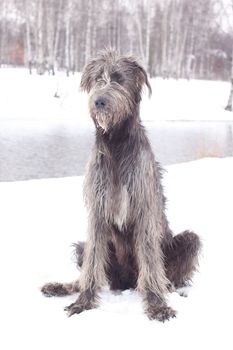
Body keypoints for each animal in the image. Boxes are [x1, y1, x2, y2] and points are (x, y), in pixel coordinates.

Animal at [41, 50, 201, 322]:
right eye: (98, 79)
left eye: (118, 79)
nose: (99, 102)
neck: (115, 142)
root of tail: (124, 283)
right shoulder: (97, 208)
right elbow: (92, 262)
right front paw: (83, 301)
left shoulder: (145, 207)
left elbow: (150, 260)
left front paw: (157, 304)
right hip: (84, 248)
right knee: (88, 266)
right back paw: (62, 287)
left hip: (189, 242)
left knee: (174, 267)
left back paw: (169, 287)